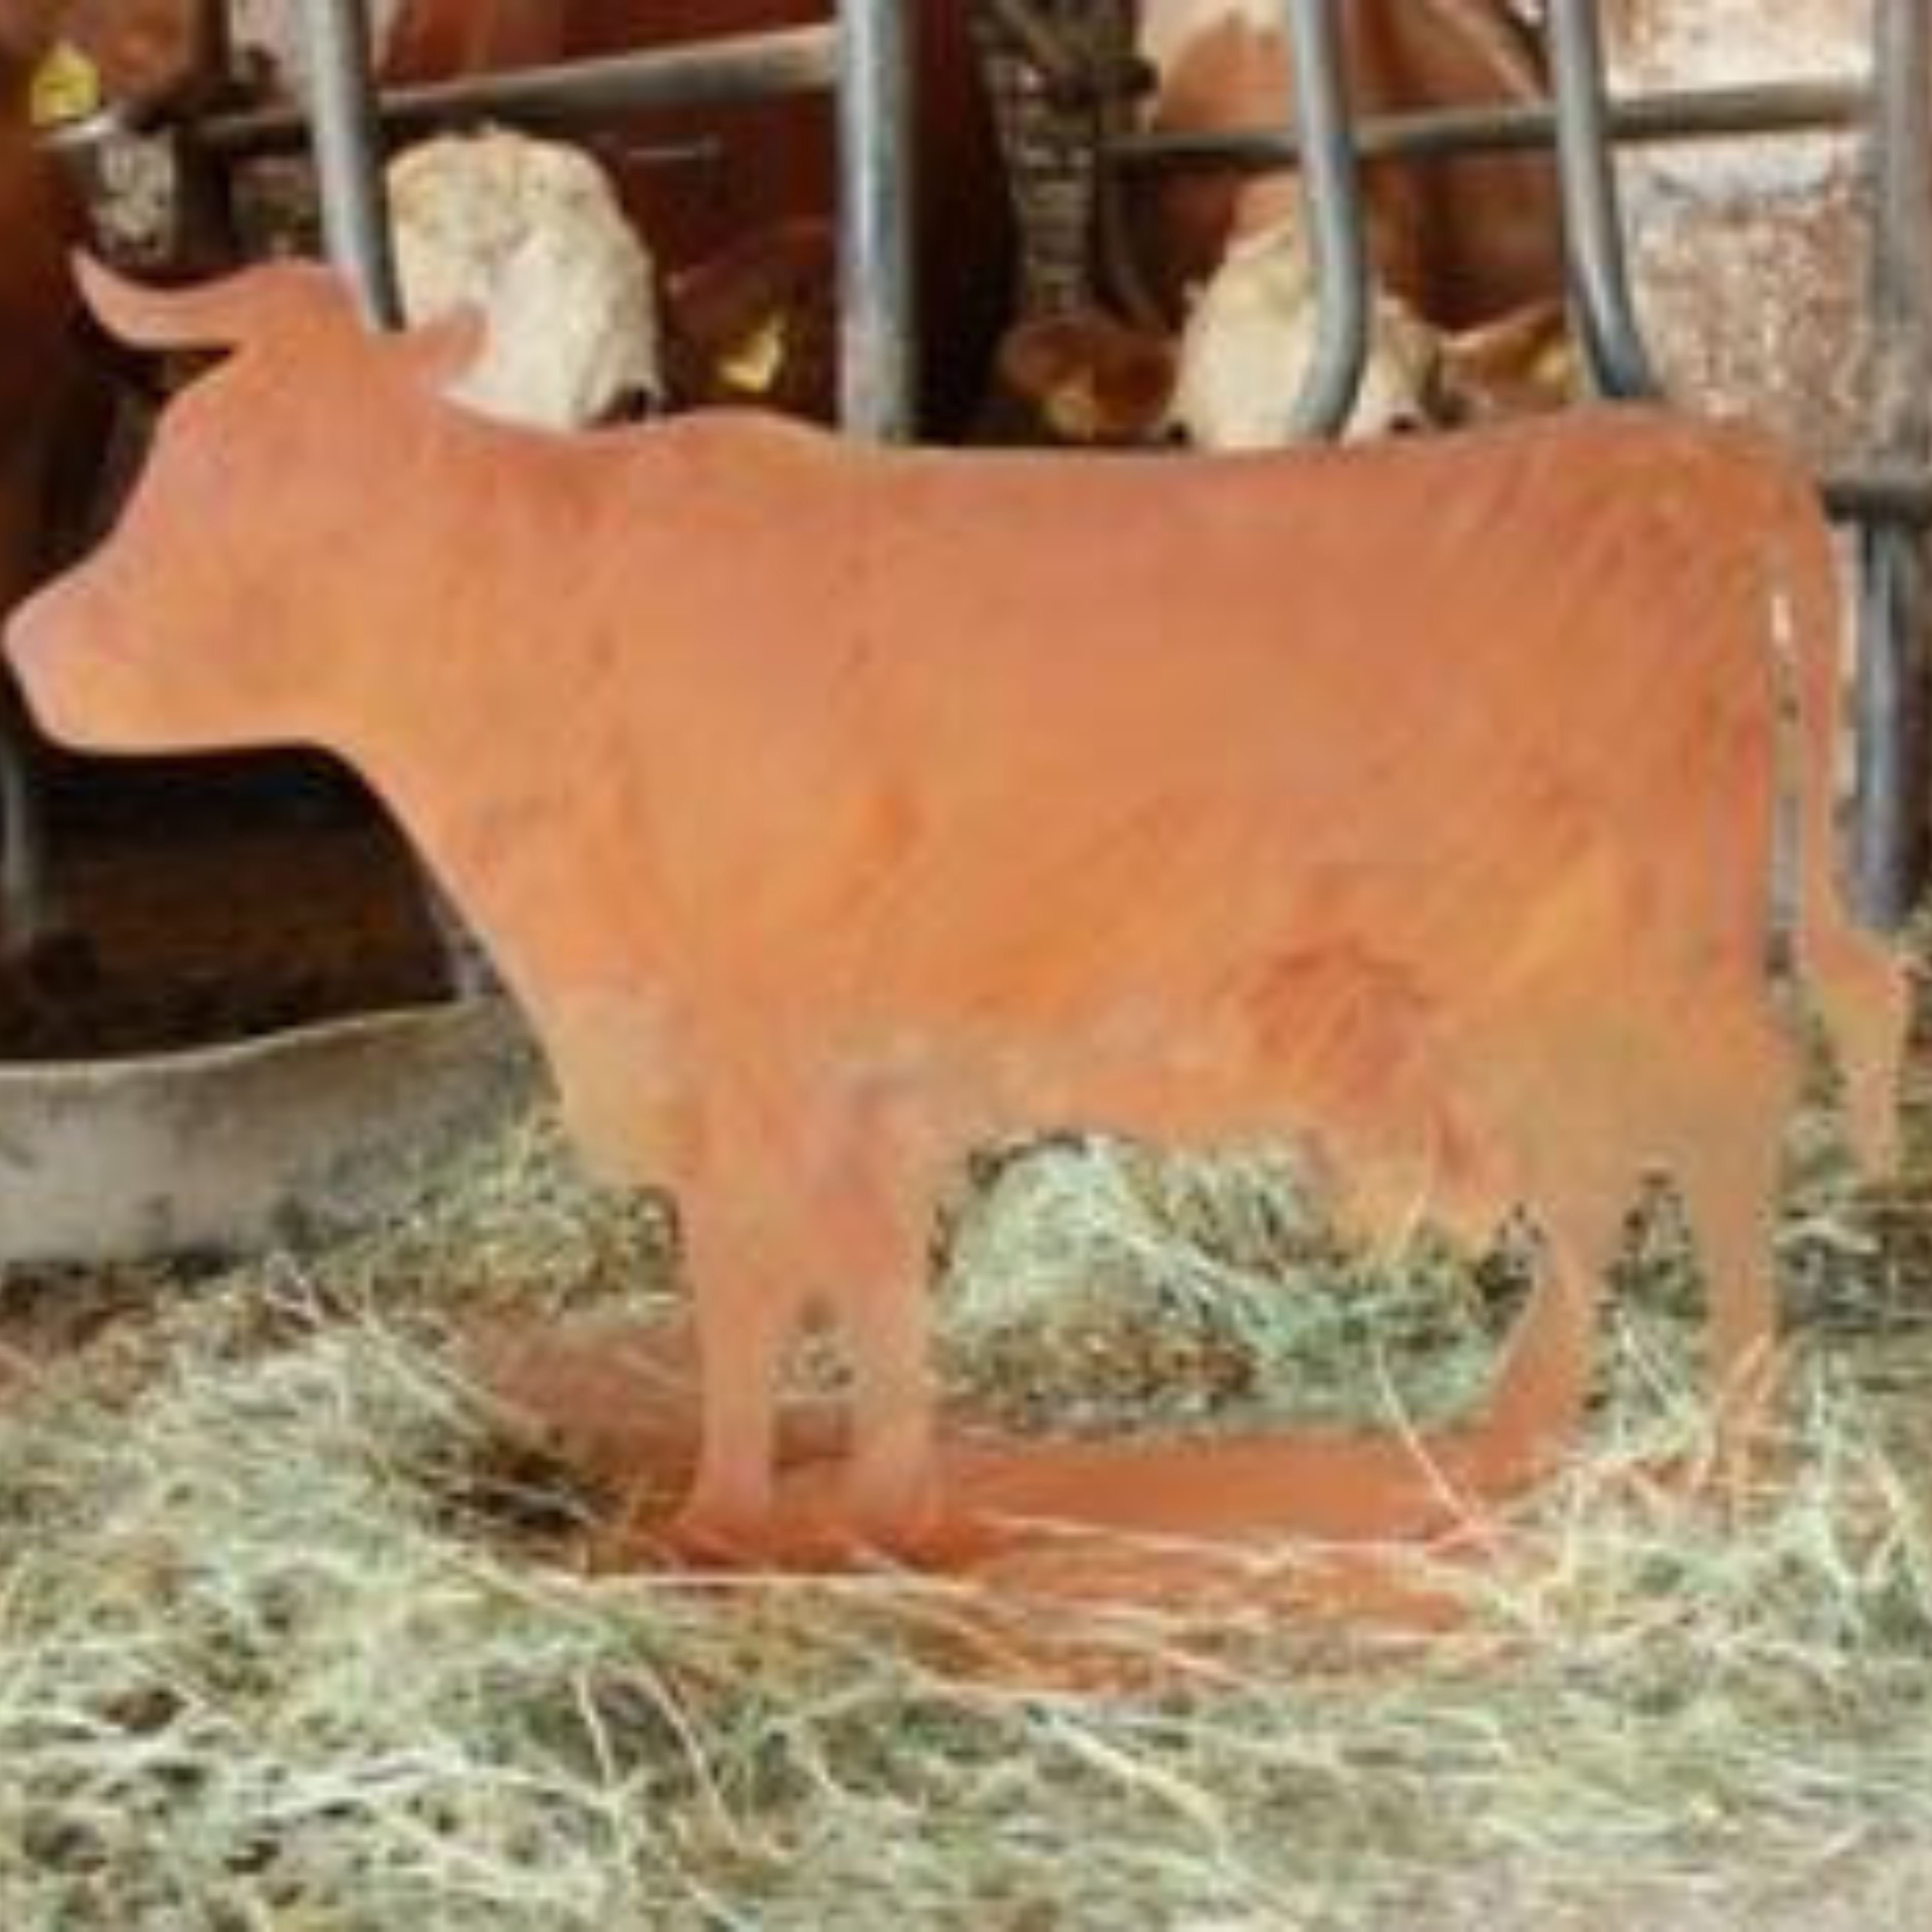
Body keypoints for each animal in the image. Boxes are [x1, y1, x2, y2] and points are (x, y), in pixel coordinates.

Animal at [7, 257, 1903, 1562]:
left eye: (251, 491)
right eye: (176, 460)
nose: (34, 644)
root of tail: (1697, 450)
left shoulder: (754, 1049)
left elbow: (757, 1278)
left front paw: (728, 1517)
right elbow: (857, 1281)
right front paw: (885, 1494)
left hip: (1619, 960)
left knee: (1707, 1138)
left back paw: (1723, 1455)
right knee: (1605, 1173)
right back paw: (1521, 1440)